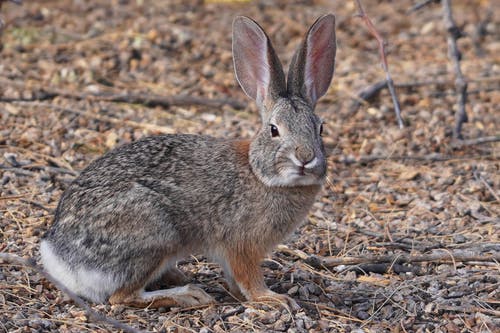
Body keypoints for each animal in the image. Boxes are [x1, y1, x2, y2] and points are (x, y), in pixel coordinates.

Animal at [40, 13, 336, 308]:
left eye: (320, 128)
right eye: (274, 130)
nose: (305, 158)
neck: (259, 173)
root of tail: (59, 258)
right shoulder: (241, 245)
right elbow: (248, 277)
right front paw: (271, 298)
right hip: (155, 234)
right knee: (122, 297)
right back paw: (188, 294)